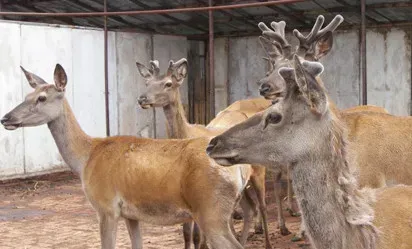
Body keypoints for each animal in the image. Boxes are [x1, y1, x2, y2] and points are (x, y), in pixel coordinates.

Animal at [0, 63, 253, 249]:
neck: (85, 158)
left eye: (42, 98)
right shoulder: (132, 214)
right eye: (27, 94)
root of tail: (239, 170)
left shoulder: (106, 207)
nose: (6, 118)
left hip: (210, 210)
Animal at [137, 58, 276, 249]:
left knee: (262, 206)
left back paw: (268, 242)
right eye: (147, 83)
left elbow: (197, 236)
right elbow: (186, 234)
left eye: (168, 83)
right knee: (249, 209)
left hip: (258, 170)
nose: (142, 98)